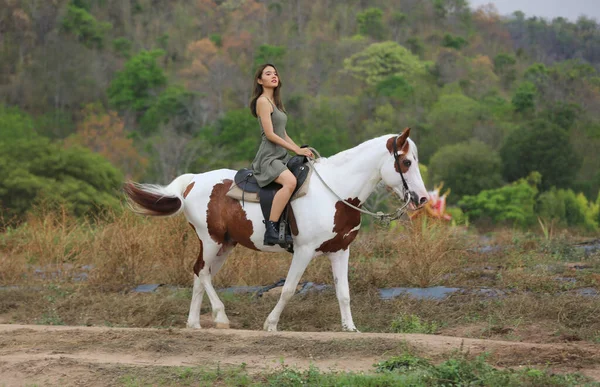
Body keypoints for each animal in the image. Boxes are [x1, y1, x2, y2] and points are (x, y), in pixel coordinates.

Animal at [124, 128, 428, 334]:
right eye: (406, 163)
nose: (422, 198)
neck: (336, 192)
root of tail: (193, 181)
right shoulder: (303, 251)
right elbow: (289, 289)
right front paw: (270, 324)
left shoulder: (341, 251)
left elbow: (344, 292)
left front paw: (350, 328)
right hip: (210, 240)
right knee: (201, 272)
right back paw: (220, 318)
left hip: (224, 245)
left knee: (201, 274)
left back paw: (194, 323)